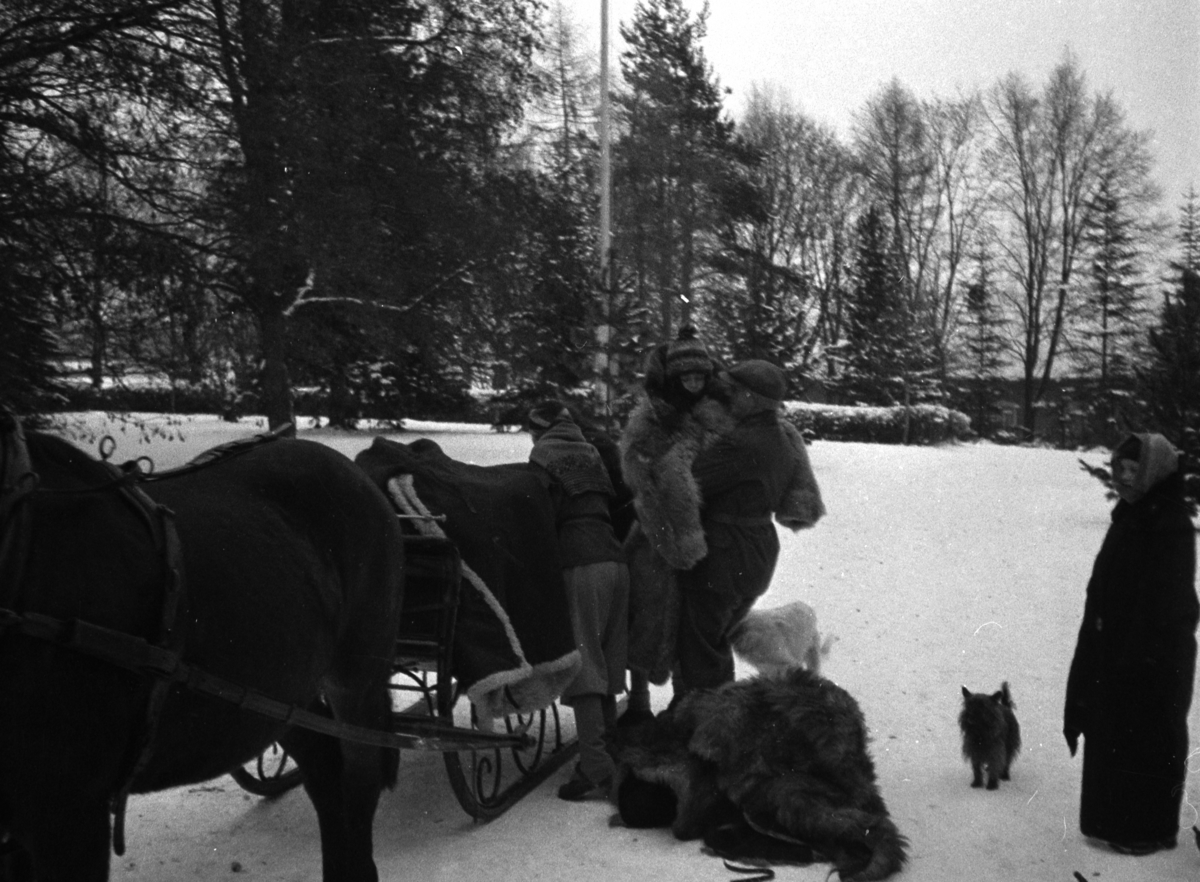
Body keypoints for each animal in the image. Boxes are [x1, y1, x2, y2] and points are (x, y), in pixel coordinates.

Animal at [0, 422, 408, 882]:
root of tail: (352, 470)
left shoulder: (69, 816)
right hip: (278, 688)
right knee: (322, 764)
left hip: (356, 677)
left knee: (360, 775)